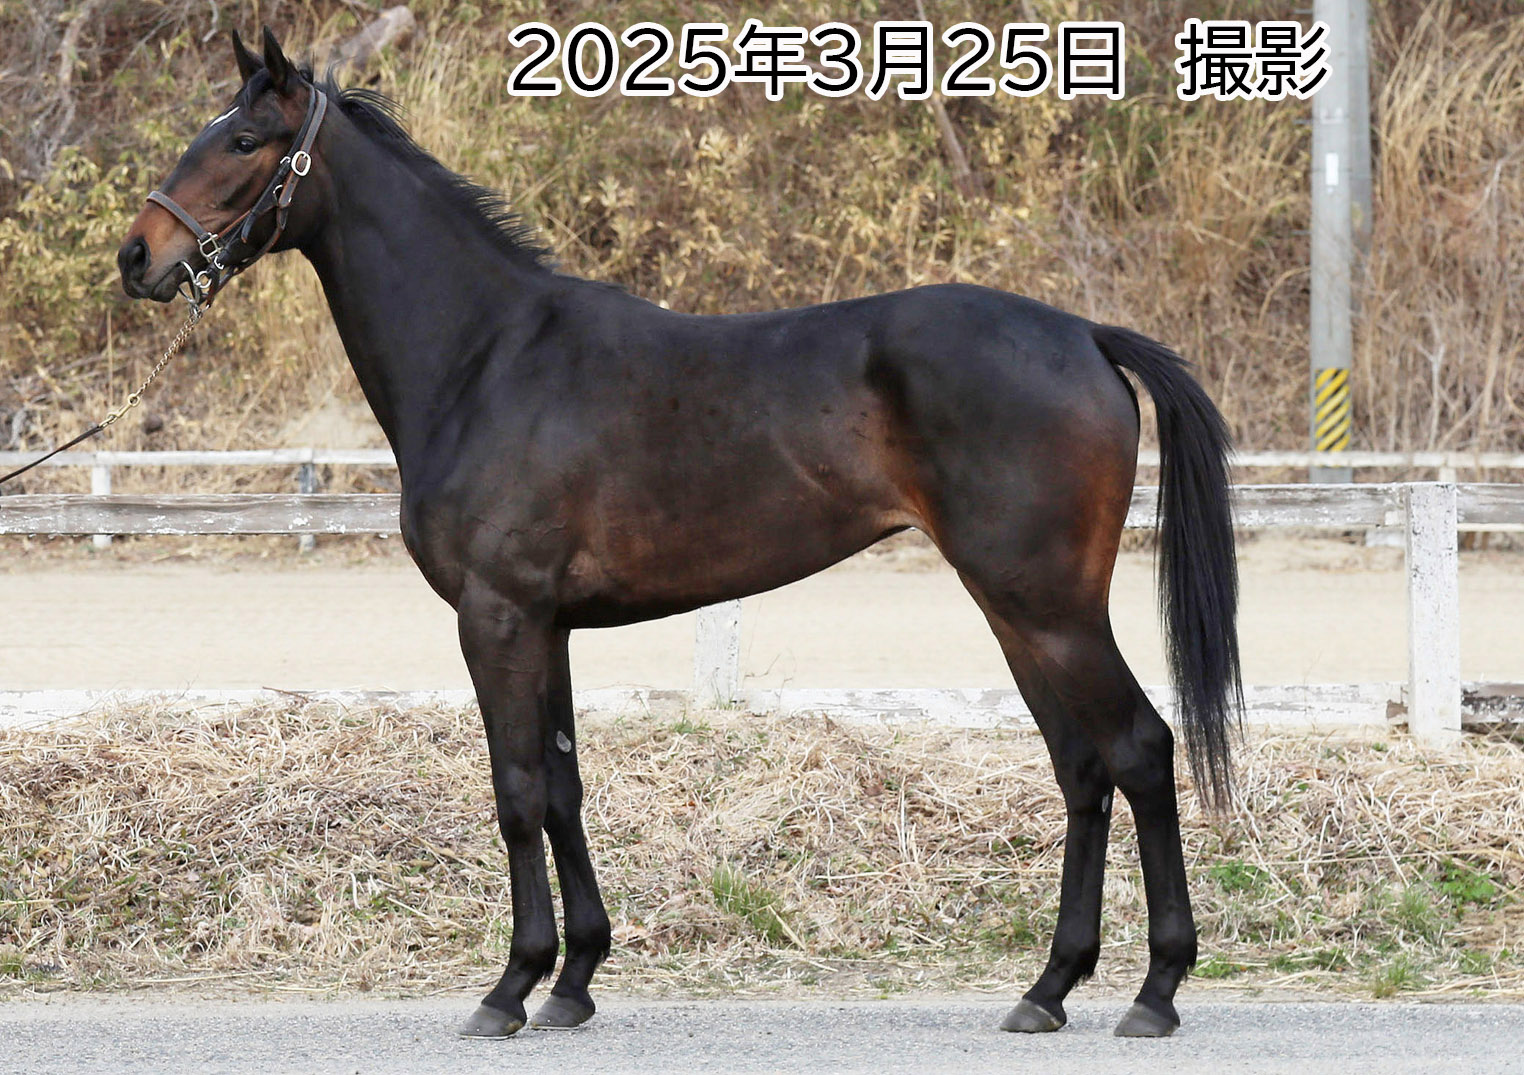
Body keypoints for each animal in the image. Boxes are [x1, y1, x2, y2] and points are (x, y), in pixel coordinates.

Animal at [117, 28, 1241, 1041]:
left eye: (244, 140)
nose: (139, 256)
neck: (487, 356)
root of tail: (1084, 335)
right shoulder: (549, 626)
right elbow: (564, 787)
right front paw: (572, 981)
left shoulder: (498, 616)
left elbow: (516, 790)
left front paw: (508, 988)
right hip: (1017, 610)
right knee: (1082, 769)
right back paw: (1048, 988)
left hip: (1047, 607)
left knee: (1139, 750)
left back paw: (1154, 992)